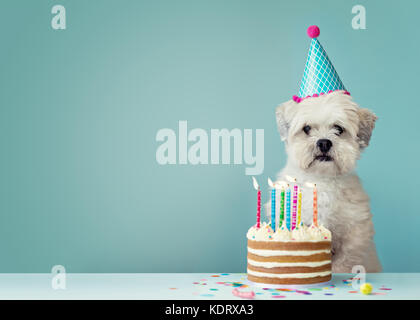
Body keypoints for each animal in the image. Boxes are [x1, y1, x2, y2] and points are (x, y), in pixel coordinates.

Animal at [274, 90, 382, 272]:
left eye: (338, 129)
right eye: (307, 128)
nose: (324, 142)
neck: (321, 180)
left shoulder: (356, 233)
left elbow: (345, 260)